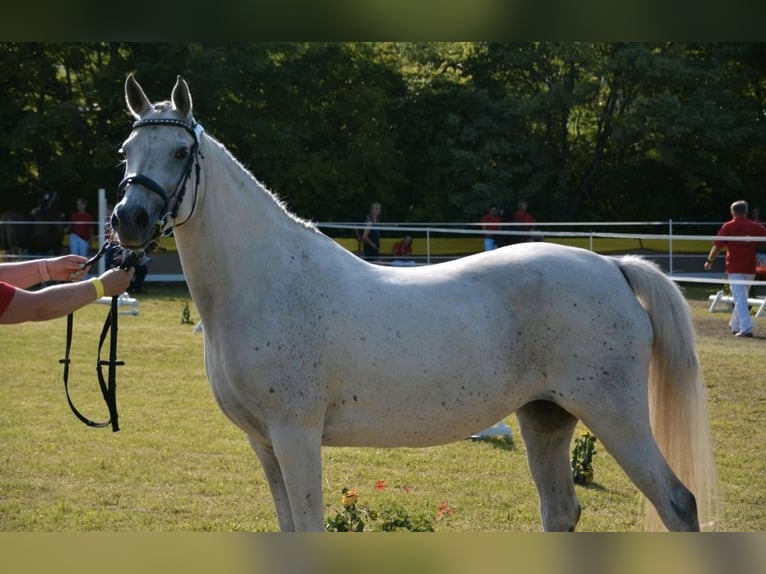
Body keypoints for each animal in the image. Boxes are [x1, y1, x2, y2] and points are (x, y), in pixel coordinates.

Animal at [111, 74, 717, 532]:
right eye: (126, 152)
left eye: (181, 151)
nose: (129, 220)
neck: (269, 283)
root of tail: (612, 268)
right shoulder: (264, 442)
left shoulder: (295, 434)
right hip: (546, 417)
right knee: (562, 511)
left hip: (615, 414)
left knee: (678, 502)